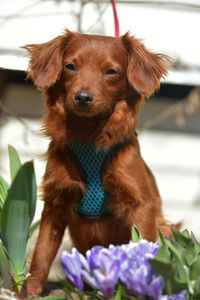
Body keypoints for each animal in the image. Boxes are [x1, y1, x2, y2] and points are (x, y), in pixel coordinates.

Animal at [24, 30, 172, 296]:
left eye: (111, 72)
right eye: (70, 66)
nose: (83, 97)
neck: (89, 136)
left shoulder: (142, 205)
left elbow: (144, 243)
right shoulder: (56, 203)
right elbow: (42, 252)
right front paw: (29, 291)